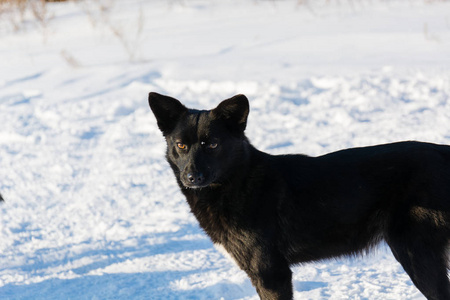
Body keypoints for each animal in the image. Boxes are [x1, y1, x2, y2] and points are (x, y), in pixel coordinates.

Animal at [149, 93, 450, 300]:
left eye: (212, 144)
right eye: (181, 145)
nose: (192, 177)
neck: (240, 182)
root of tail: (442, 151)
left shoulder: (272, 274)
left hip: (415, 253)